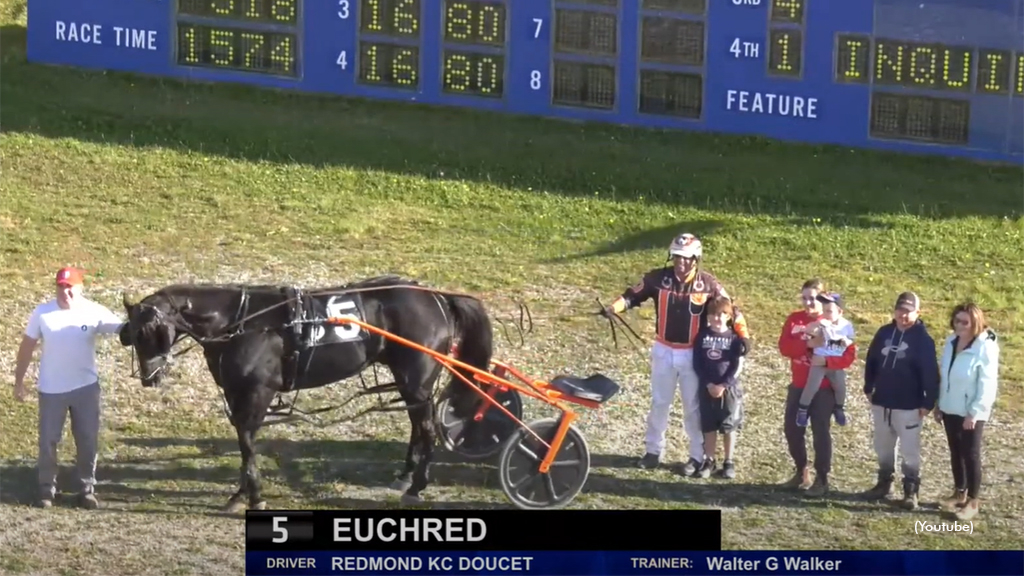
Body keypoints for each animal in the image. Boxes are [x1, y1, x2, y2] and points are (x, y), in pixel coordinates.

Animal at [117, 274, 493, 510]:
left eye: (151, 331)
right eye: (133, 334)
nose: (149, 376)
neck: (243, 322)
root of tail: (438, 298)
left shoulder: (258, 393)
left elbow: (248, 442)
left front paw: (253, 495)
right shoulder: (237, 394)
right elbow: (244, 444)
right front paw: (241, 493)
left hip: (416, 380)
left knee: (426, 430)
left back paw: (416, 486)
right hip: (411, 383)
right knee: (418, 427)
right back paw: (405, 477)